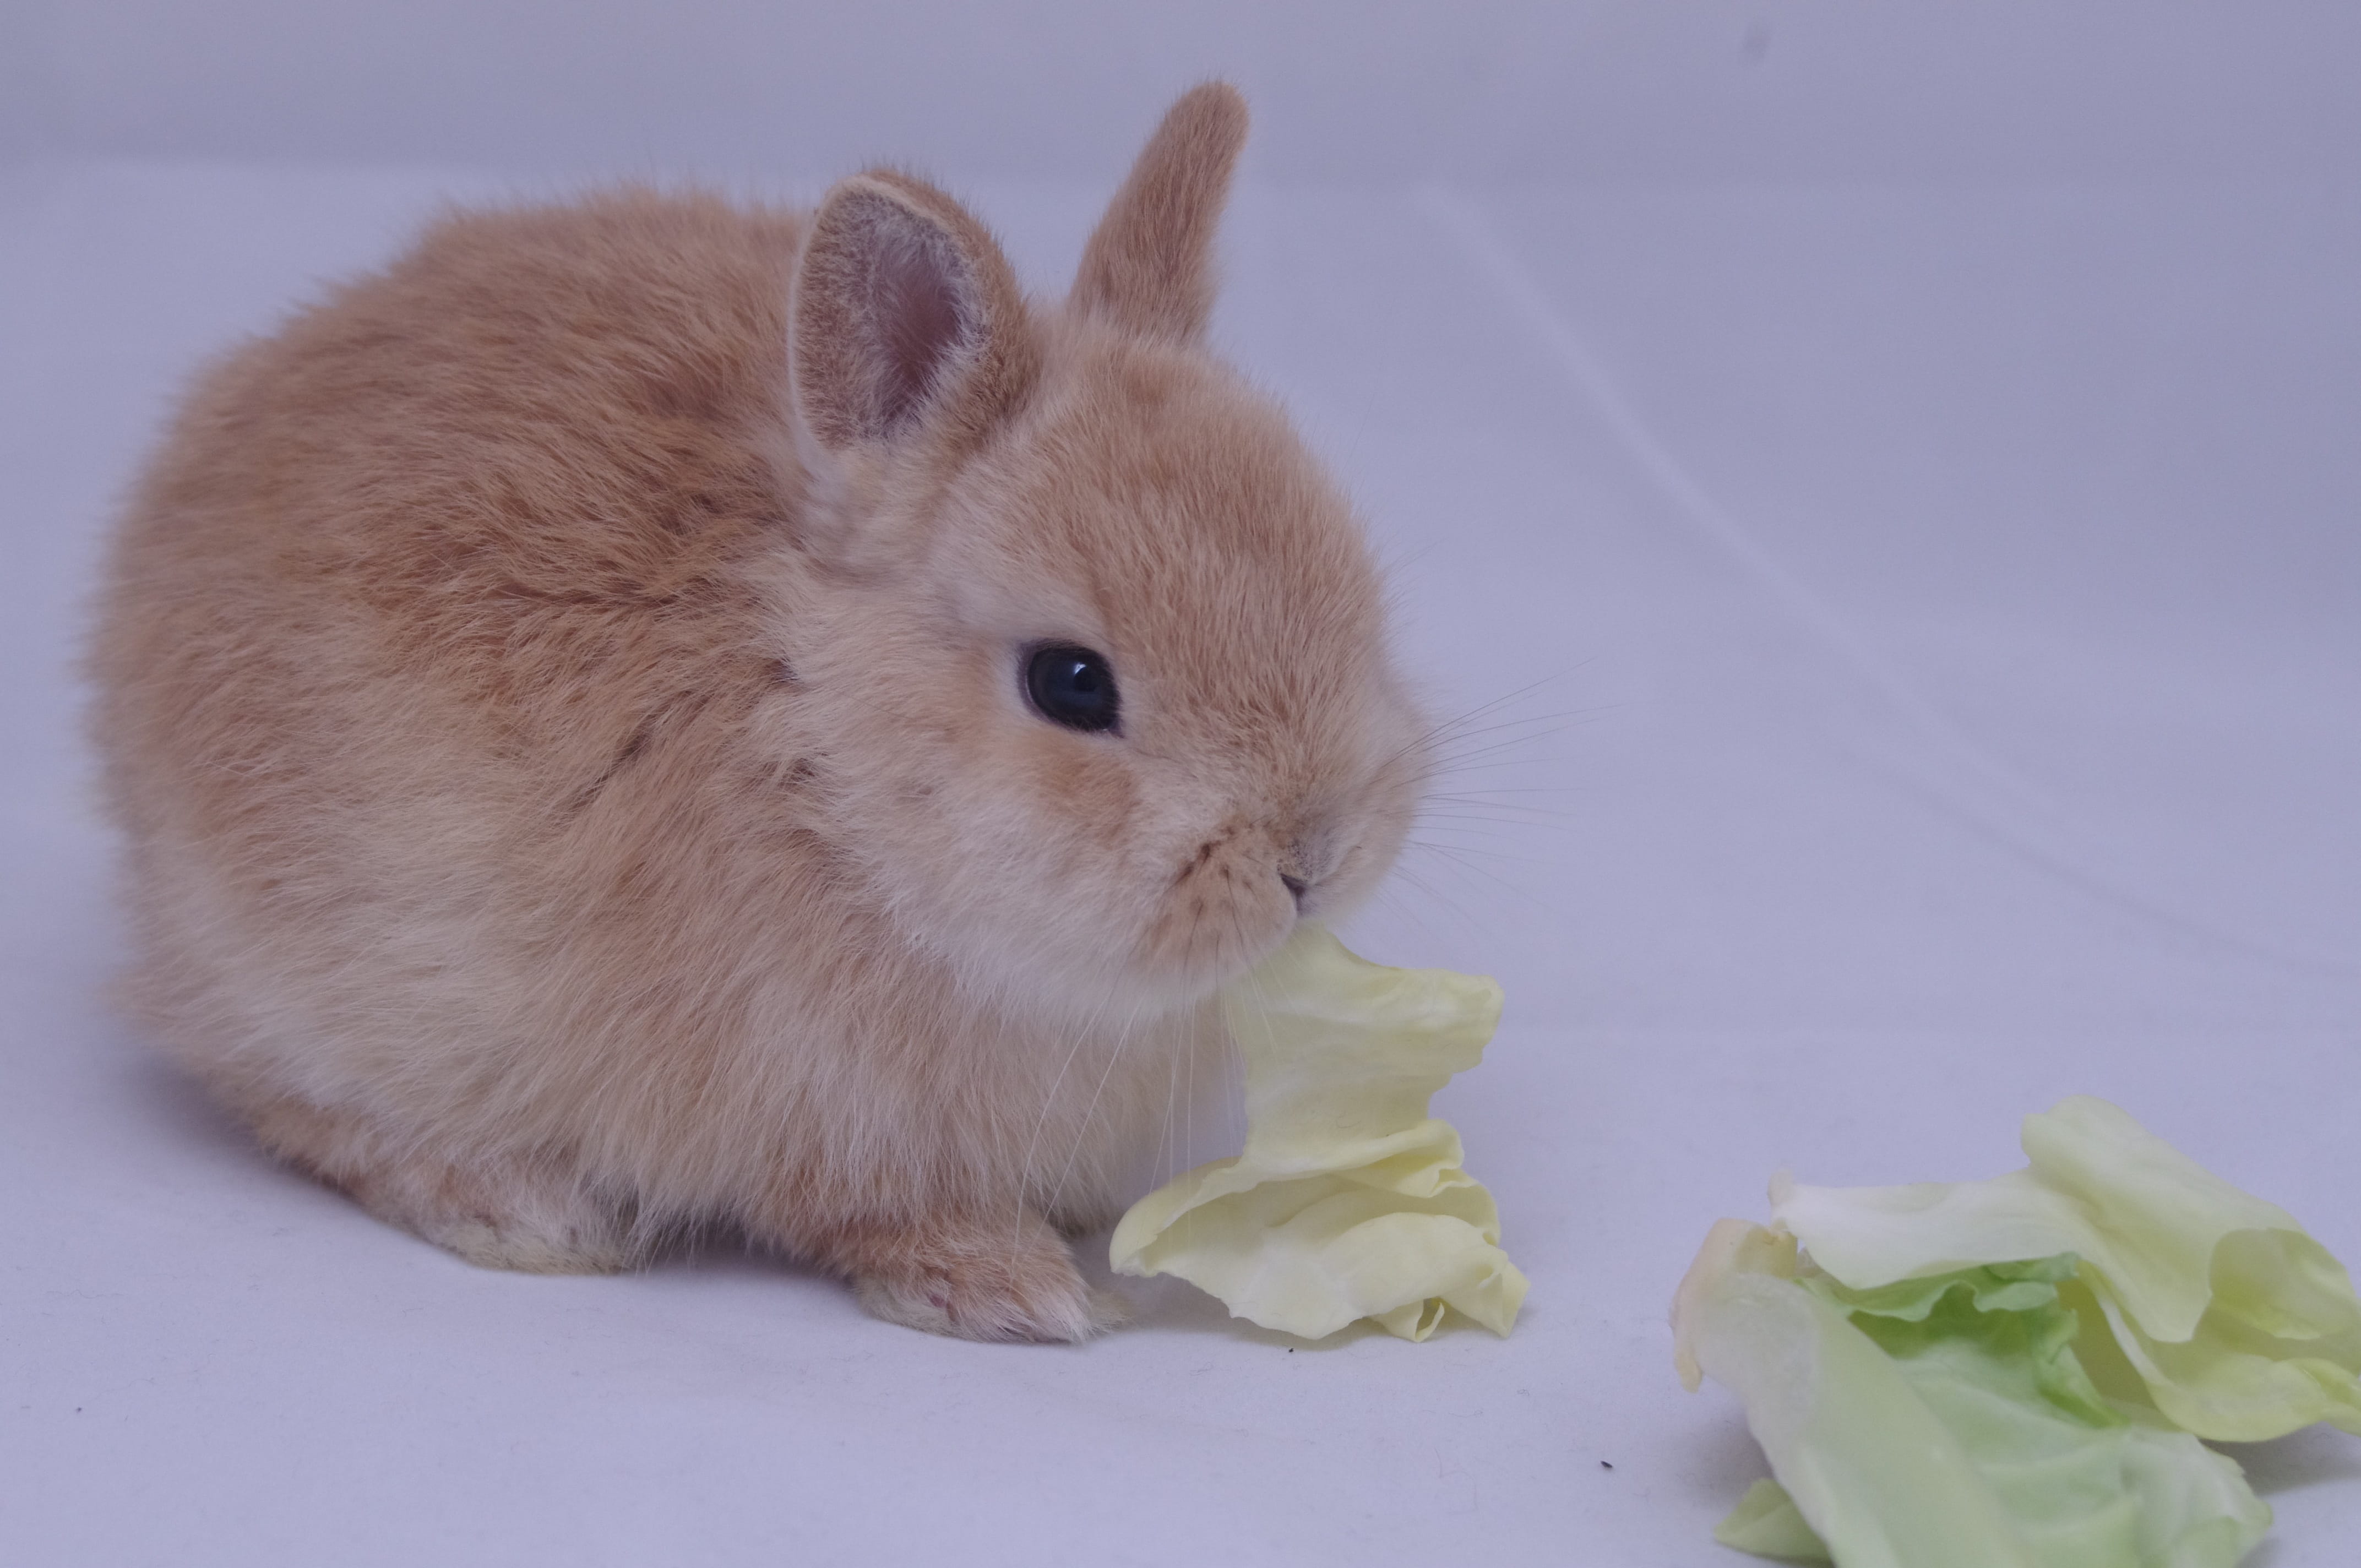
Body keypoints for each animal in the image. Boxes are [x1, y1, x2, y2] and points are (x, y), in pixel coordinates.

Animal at [87, 83, 1427, 1342]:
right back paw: (525, 1211)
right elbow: (866, 1211)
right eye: (1070, 683)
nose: (1311, 858)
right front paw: (1006, 1284)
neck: (821, 759)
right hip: (300, 977)